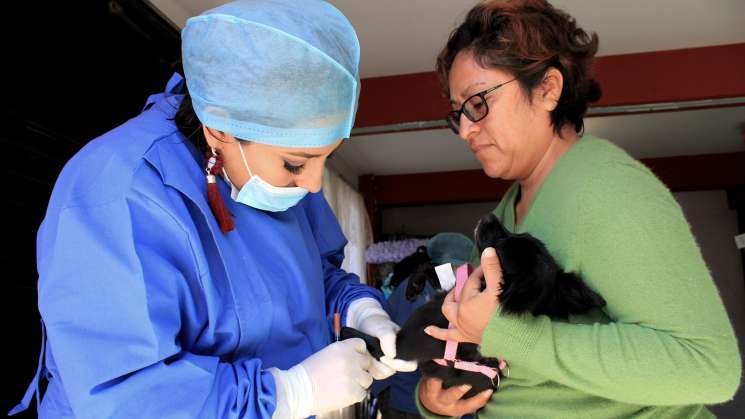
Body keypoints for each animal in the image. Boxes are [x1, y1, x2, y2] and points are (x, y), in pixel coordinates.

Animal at [342, 215, 604, 398]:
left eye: (500, 244)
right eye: (519, 233)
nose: (490, 215)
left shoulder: (405, 346)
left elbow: (379, 346)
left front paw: (348, 337)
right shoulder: (448, 289)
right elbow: (431, 268)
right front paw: (414, 286)